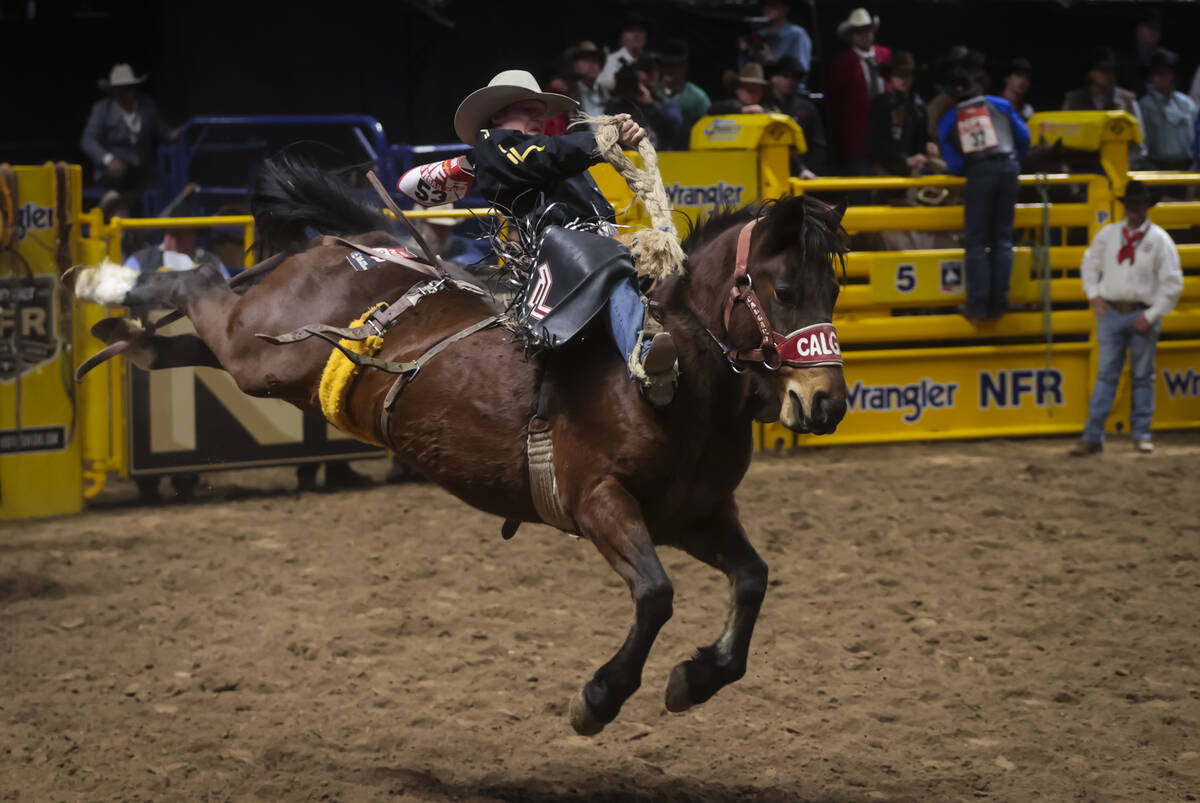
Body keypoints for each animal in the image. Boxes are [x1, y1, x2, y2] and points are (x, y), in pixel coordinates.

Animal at [70, 154, 849, 734]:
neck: (672, 378)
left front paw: (696, 678)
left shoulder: (695, 513)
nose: (828, 402)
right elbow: (656, 595)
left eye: (835, 291)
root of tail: (347, 246)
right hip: (256, 347)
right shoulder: (600, 501)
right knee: (201, 280)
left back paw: (123, 336)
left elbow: (752, 578)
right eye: (783, 289)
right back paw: (101, 282)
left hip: (256, 361)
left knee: (187, 338)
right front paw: (598, 698)